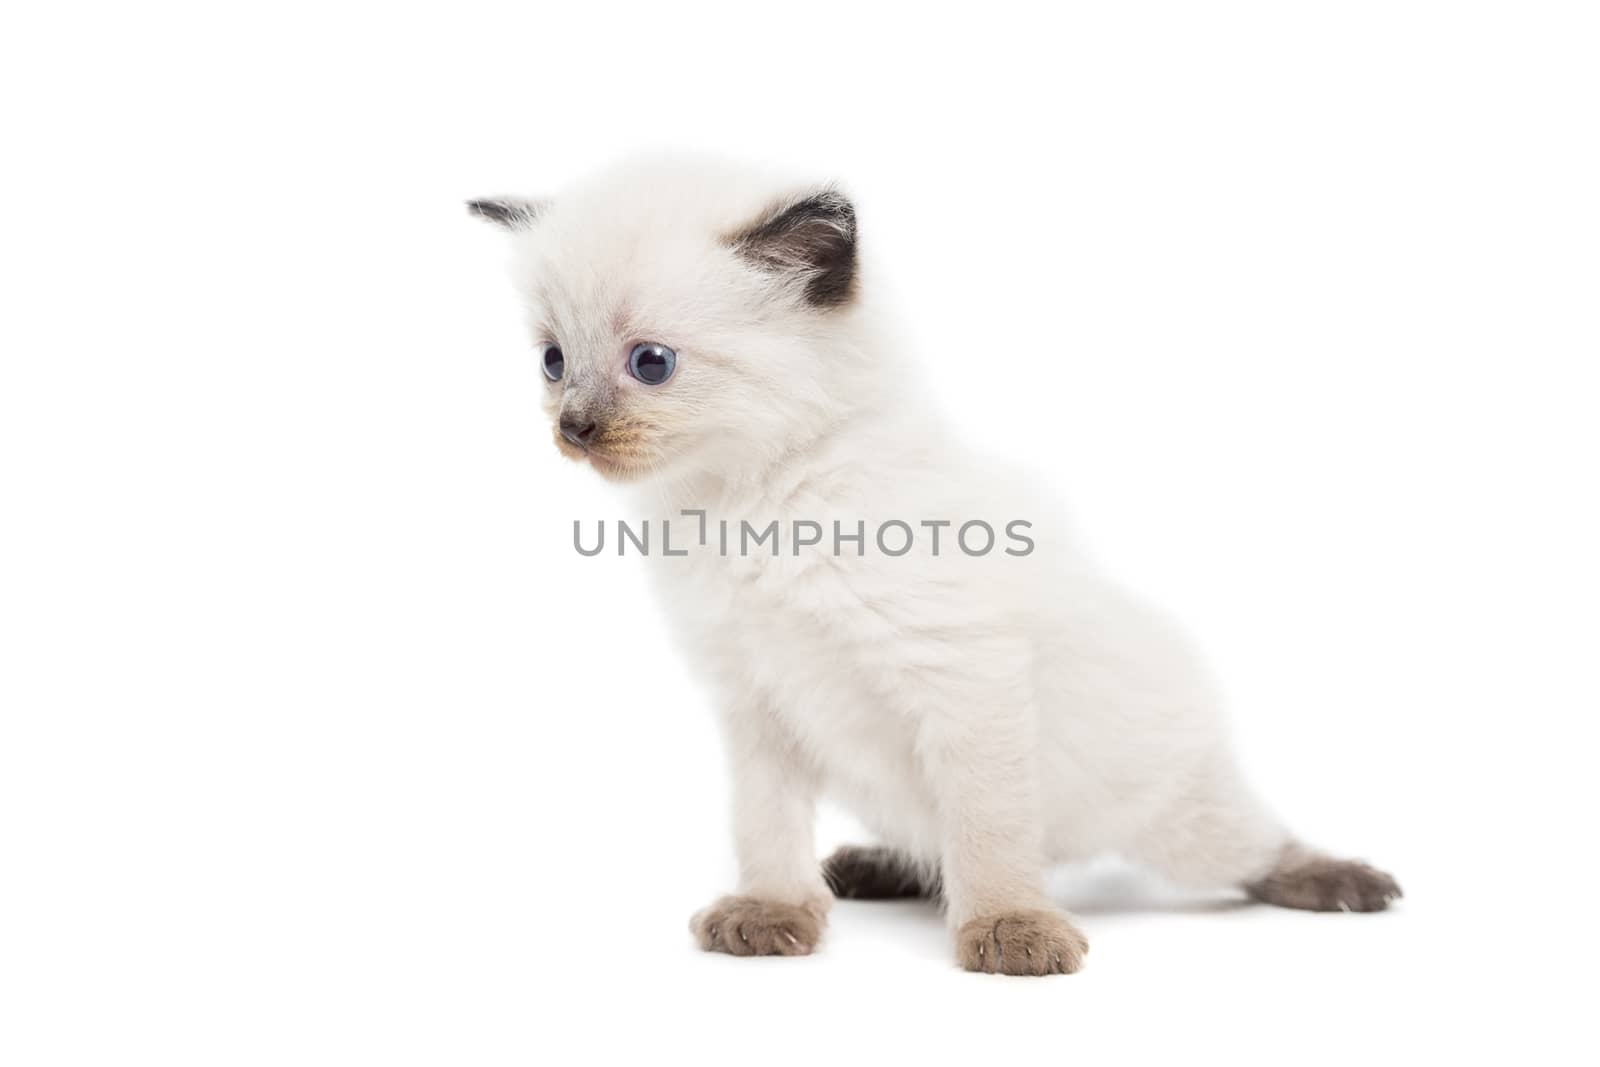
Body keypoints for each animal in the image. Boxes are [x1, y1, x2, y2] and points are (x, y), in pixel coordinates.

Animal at [470, 154, 1401, 979]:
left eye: (650, 362)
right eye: (553, 360)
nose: (574, 428)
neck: (748, 505)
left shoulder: (963, 681)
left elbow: (988, 831)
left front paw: (1010, 929)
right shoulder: (755, 701)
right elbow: (765, 825)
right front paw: (773, 910)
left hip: (1179, 819)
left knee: (1246, 845)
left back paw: (1344, 881)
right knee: (930, 846)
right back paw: (870, 866)